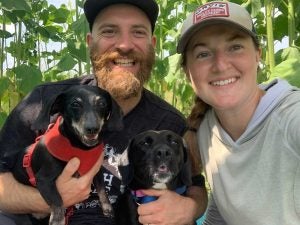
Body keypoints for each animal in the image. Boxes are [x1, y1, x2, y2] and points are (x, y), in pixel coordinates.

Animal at [11, 85, 122, 225]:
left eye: (102, 103)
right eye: (75, 104)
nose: (92, 128)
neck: (80, 148)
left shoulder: (96, 171)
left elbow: (102, 189)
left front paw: (107, 208)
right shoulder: (43, 179)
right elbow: (58, 201)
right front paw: (58, 220)